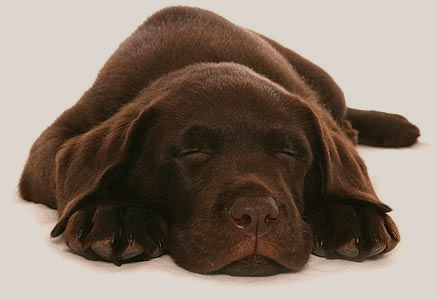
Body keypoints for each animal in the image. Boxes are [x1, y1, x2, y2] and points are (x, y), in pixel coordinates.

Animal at [19, 6, 418, 276]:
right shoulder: (60, 134)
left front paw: (352, 213)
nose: (256, 214)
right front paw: (116, 213)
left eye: (289, 152)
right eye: (193, 151)